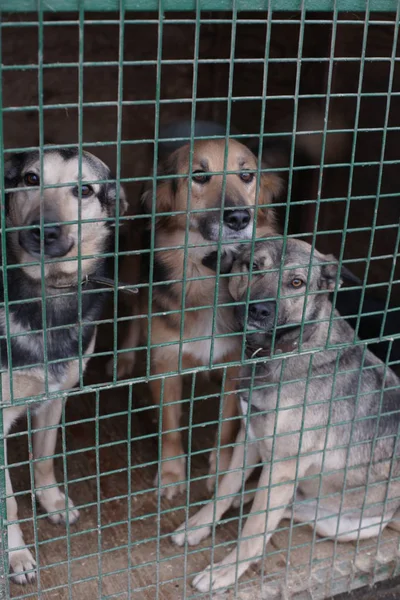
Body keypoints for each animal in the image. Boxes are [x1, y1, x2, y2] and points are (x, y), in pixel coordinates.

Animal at [1, 148, 126, 584]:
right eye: (30, 179)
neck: (49, 293)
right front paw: (16, 555)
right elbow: (9, 502)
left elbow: (44, 458)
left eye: (84, 190)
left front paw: (52, 501)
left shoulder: (55, 398)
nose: (45, 231)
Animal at [111, 138, 282, 500]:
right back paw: (125, 357)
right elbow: (170, 426)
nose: (238, 217)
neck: (210, 271)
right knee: (134, 313)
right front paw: (172, 473)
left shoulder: (236, 366)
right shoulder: (165, 365)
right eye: (200, 176)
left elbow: (226, 426)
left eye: (246, 175)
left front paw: (220, 469)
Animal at [172, 238, 400, 592]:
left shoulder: (284, 464)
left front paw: (224, 571)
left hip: (346, 526)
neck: (285, 351)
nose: (259, 310)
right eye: (253, 266)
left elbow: (255, 530)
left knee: (283, 512)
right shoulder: (250, 438)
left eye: (296, 282)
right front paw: (198, 525)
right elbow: (225, 488)